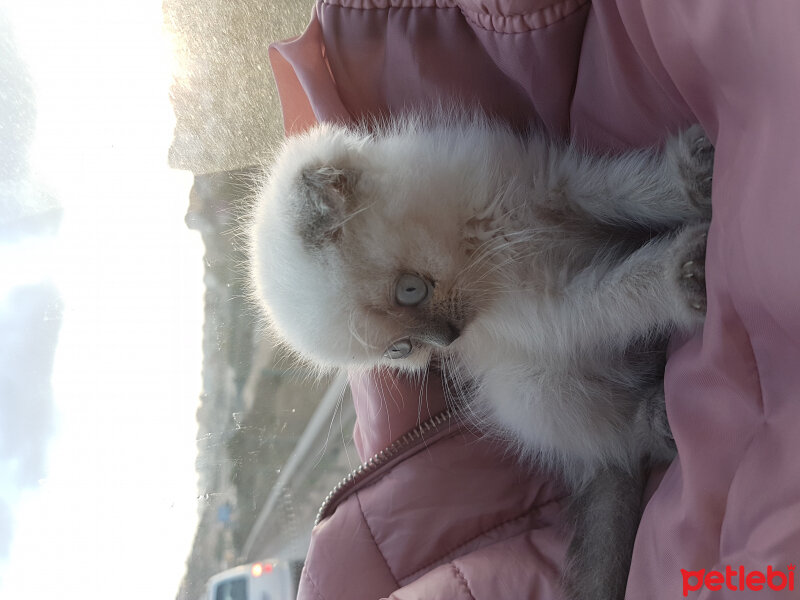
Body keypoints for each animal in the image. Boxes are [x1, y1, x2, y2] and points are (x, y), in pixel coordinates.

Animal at [248, 115, 712, 600]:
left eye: (410, 290)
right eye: (401, 349)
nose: (449, 338)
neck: (480, 246)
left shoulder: (553, 183)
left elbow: (625, 188)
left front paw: (693, 179)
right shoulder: (552, 309)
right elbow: (622, 294)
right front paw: (681, 274)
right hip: (529, 392)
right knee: (616, 442)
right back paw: (658, 417)